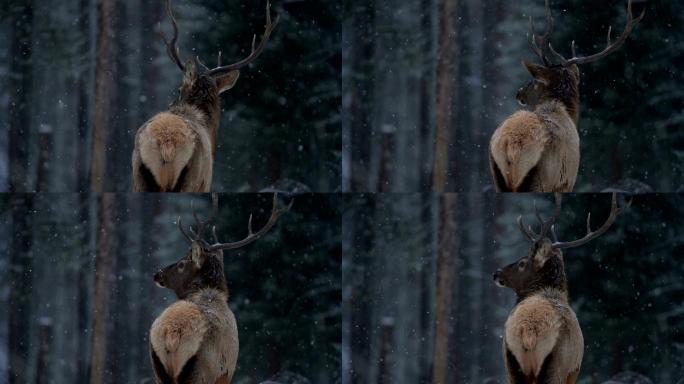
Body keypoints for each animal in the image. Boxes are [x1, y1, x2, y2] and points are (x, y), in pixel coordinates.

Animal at [134, 0, 278, 192]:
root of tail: (167, 143)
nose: (170, 105)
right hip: (193, 177)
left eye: (178, 90)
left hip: (138, 174)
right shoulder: (207, 181)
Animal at [148, 195, 290, 384]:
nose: (158, 274)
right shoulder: (226, 372)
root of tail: (172, 334)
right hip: (202, 371)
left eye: (181, 264)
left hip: (158, 366)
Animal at [488, 0, 644, 192]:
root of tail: (510, 145)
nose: (519, 93)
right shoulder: (568, 179)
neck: (567, 112)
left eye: (535, 80)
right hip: (542, 178)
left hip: (497, 174)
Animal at [492, 195, 632, 384]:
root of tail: (528, 332)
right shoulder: (574, 370)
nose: (496, 273)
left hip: (510, 360)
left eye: (522, 263)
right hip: (557, 364)